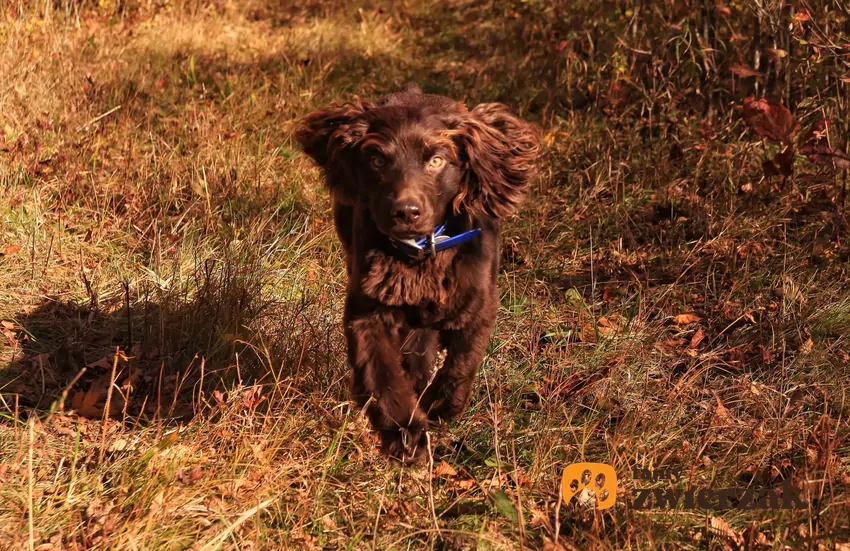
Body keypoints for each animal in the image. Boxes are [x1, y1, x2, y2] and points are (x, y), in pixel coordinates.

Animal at [294, 83, 540, 462]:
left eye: (436, 160)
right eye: (378, 160)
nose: (405, 212)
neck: (423, 254)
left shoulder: (479, 304)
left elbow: (462, 364)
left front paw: (439, 405)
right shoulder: (367, 309)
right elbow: (379, 373)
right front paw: (405, 432)